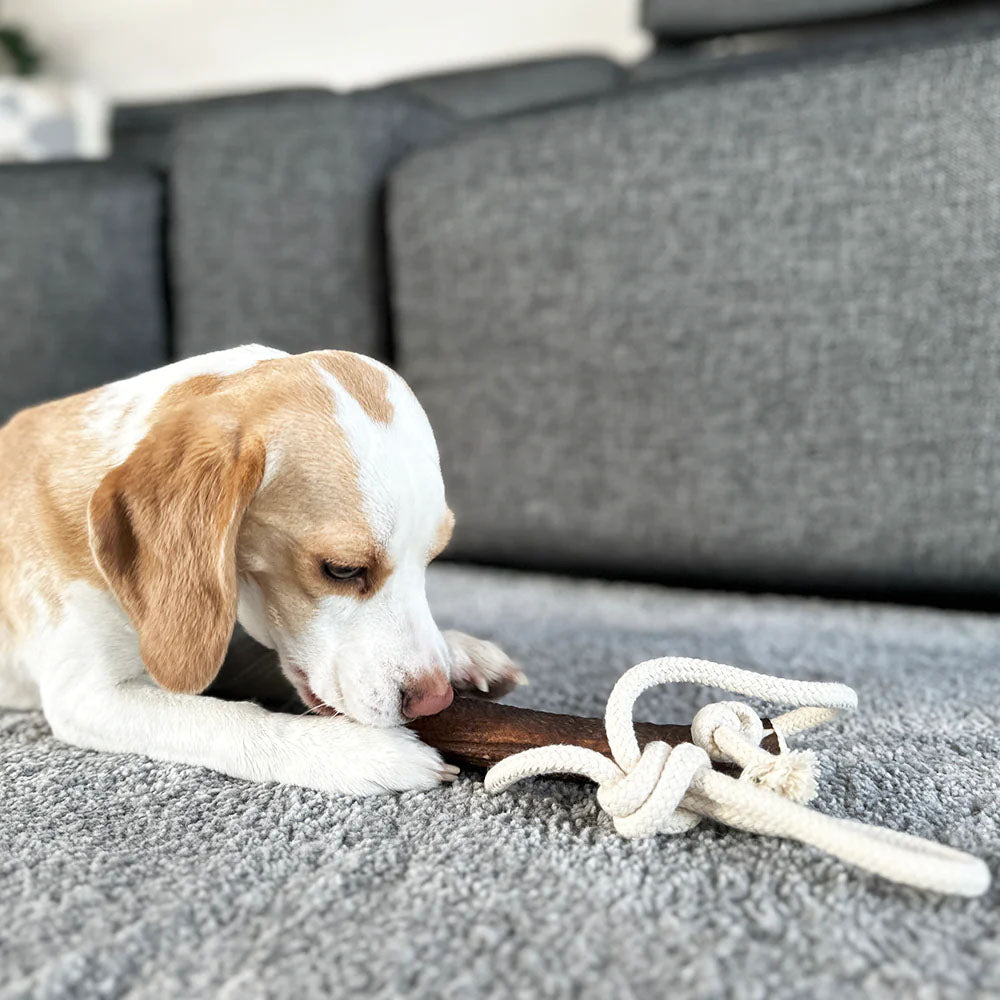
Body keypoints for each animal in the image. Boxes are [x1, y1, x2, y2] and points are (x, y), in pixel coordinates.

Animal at [1, 350, 524, 796]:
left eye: (432, 559)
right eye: (342, 570)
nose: (434, 700)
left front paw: (458, 651)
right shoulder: (85, 696)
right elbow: (225, 719)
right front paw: (350, 751)